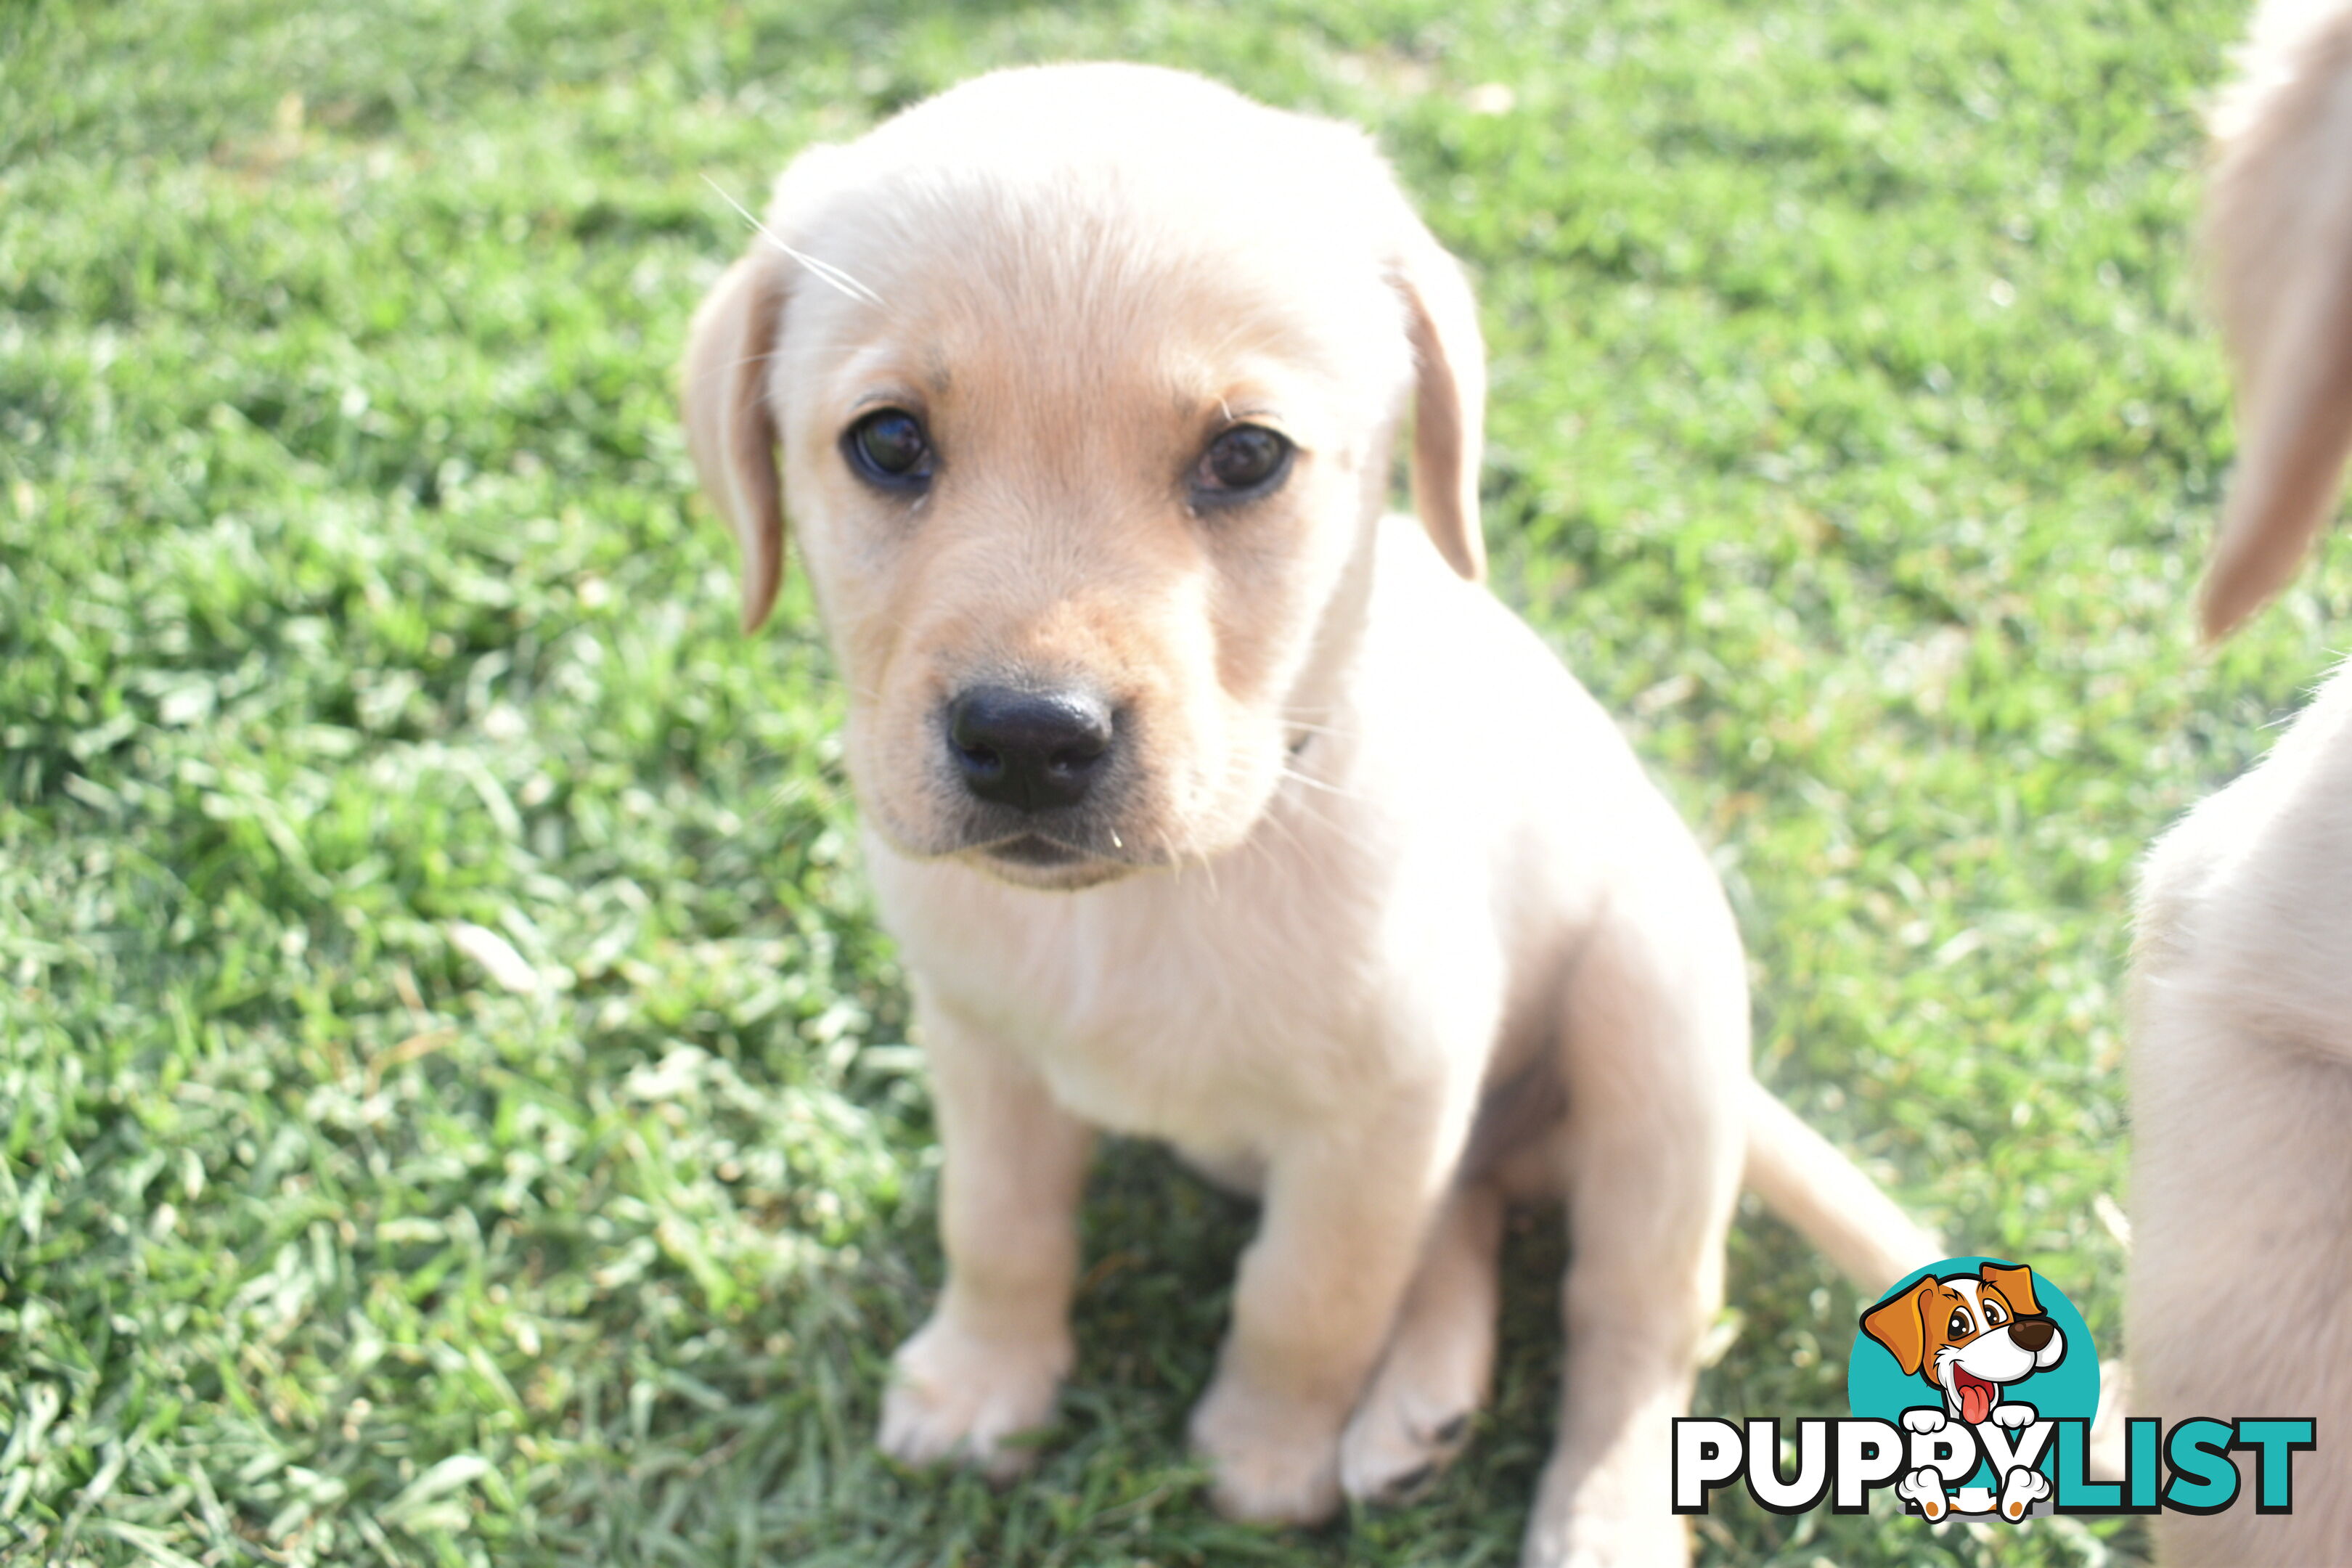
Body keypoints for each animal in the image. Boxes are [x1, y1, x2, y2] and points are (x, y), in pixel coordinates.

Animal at [677, 64, 1928, 1568]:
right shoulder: (980, 1048)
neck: (1150, 901)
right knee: (1468, 1218)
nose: (1031, 738)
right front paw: (982, 1384)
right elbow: (1000, 1225)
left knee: (1636, 1322)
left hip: (1658, 1032)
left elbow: (1311, 1294)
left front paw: (1266, 1454)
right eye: (888, 442)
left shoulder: (1385, 1105)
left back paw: (1600, 1512)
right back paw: (1420, 1413)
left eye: (1245, 458)